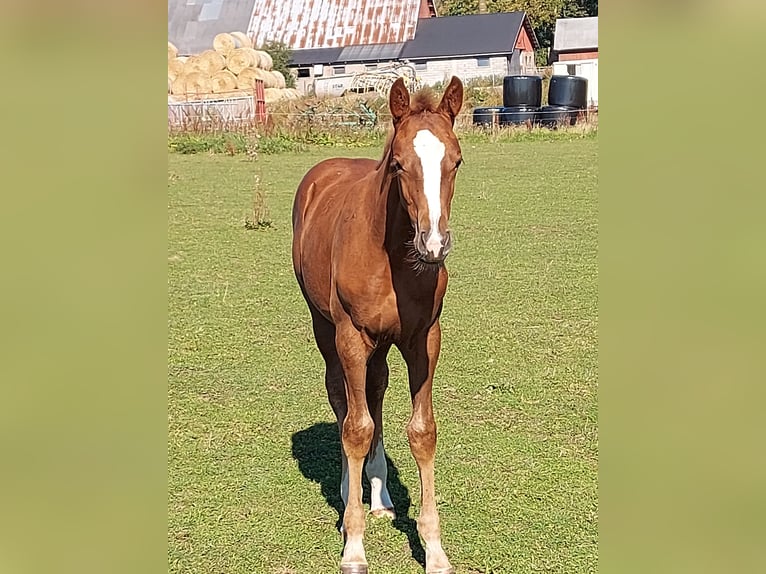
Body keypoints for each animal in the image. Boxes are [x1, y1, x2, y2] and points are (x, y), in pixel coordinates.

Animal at [292, 77, 462, 574]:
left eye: (457, 160)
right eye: (398, 163)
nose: (434, 244)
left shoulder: (424, 338)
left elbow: (422, 431)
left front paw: (434, 549)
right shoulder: (351, 335)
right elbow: (355, 427)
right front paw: (353, 546)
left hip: (384, 343)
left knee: (376, 390)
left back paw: (380, 496)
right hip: (325, 326)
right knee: (342, 398)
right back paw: (349, 490)